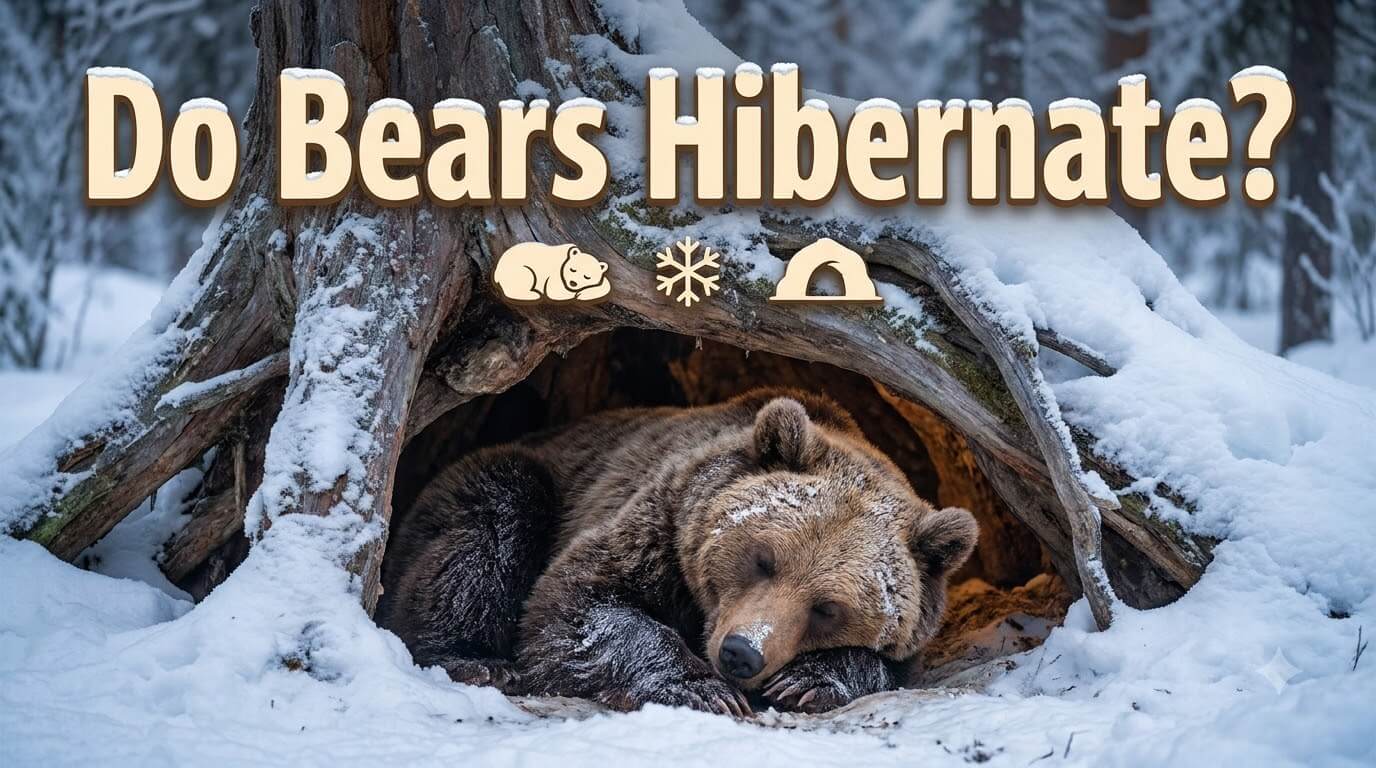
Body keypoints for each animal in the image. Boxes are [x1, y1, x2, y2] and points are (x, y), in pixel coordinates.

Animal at [377, 388, 978, 716]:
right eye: (764, 558)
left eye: (828, 607)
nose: (741, 653)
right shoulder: (658, 526)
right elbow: (578, 603)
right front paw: (702, 689)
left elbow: (886, 665)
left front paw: (807, 680)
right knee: (492, 521)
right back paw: (477, 661)